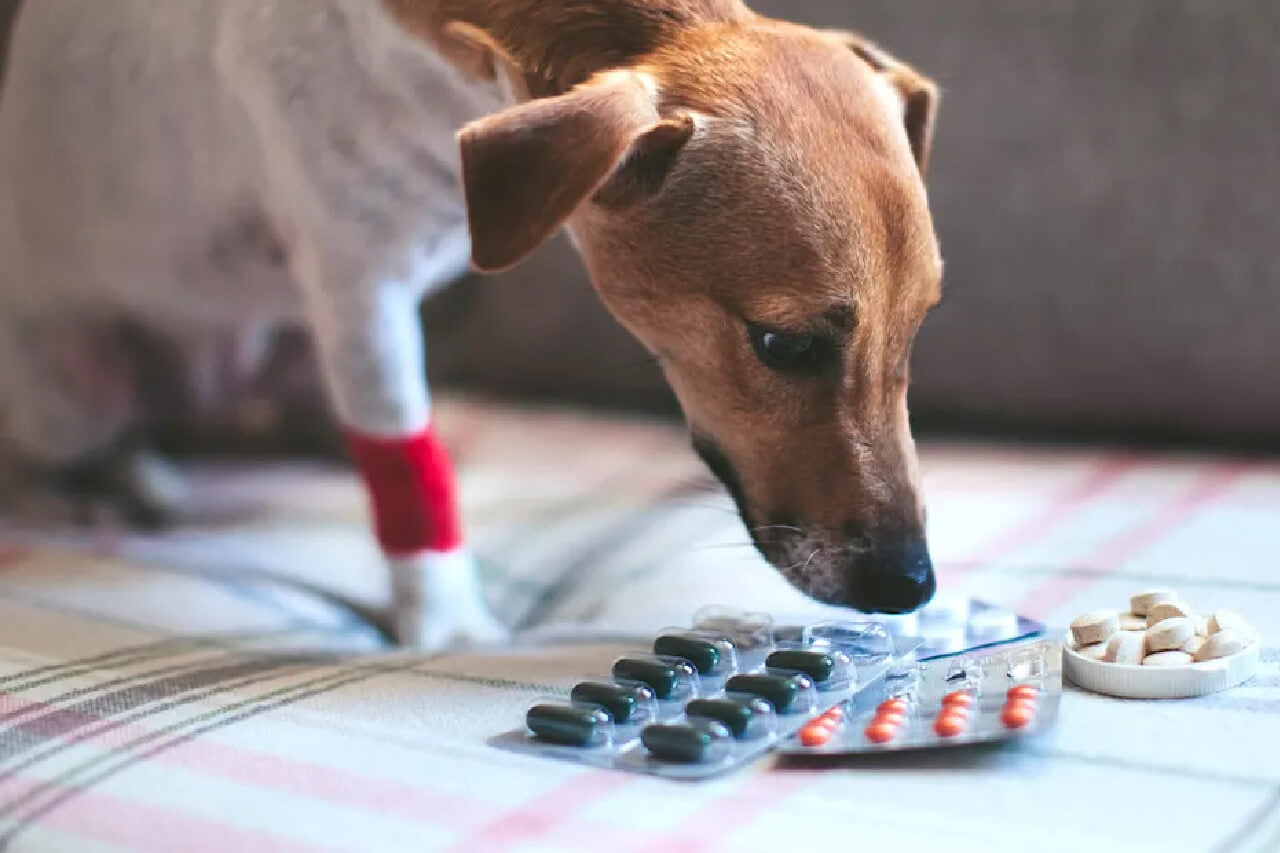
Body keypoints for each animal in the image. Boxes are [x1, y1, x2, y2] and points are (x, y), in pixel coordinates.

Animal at [0, 0, 942, 648]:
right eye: (784, 345)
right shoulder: (362, 295)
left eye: (917, 327)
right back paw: (105, 486)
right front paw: (447, 622)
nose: (913, 587)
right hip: (74, 387)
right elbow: (403, 464)